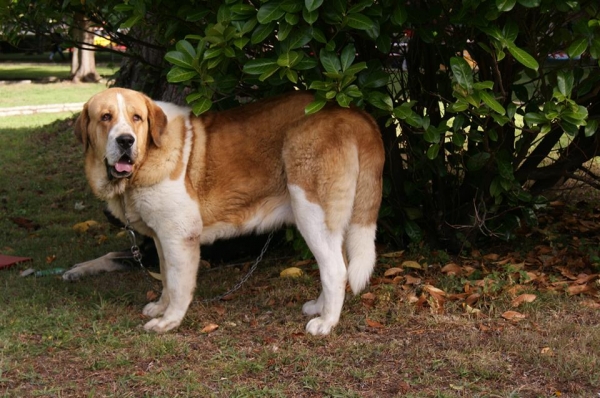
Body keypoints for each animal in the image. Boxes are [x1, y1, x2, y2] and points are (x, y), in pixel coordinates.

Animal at [64, 88, 384, 334]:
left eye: (136, 118)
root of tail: (354, 113)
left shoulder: (179, 237)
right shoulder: (160, 239)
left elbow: (178, 284)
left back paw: (326, 323)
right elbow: (165, 277)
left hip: (309, 209)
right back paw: (319, 307)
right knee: (339, 263)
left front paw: (169, 321)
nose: (125, 140)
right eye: (105, 117)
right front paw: (160, 307)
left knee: (335, 269)